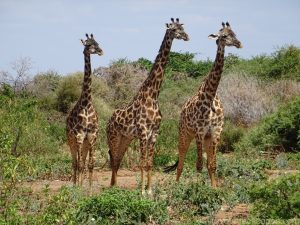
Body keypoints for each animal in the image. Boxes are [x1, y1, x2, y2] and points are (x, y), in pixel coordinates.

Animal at [106, 18, 189, 195]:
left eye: (182, 27)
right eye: (174, 29)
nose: (186, 36)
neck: (153, 94)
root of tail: (108, 120)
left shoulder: (154, 132)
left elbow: (150, 162)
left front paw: (149, 190)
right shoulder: (143, 132)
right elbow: (143, 161)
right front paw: (142, 191)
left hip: (126, 138)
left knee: (118, 158)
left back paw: (115, 186)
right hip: (113, 136)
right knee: (113, 156)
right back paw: (111, 187)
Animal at [163, 22, 243, 187]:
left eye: (234, 33)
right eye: (224, 36)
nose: (239, 44)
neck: (211, 97)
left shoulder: (216, 132)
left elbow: (212, 165)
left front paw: (214, 188)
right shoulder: (200, 131)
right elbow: (199, 166)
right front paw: (197, 188)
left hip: (205, 138)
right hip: (185, 134)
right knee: (180, 163)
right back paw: (176, 186)